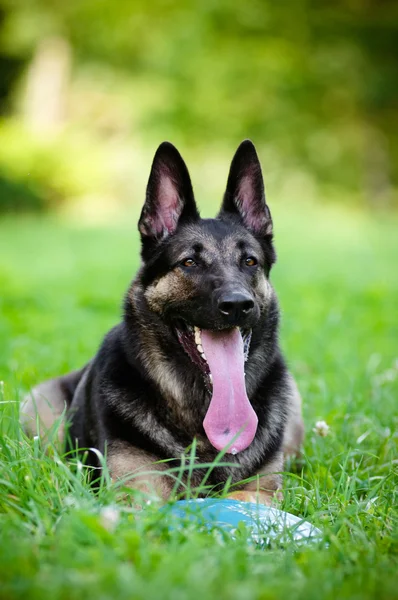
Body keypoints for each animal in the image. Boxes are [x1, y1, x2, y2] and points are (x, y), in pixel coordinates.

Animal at [21, 142, 304, 506]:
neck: (201, 418)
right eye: (189, 262)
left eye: (250, 261)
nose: (238, 305)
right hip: (39, 409)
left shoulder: (262, 492)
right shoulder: (137, 494)